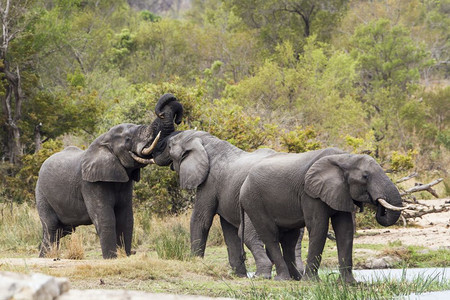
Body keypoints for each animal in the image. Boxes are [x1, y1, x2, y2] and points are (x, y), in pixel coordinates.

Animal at [36, 123, 160, 258]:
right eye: (128, 139)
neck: (104, 139)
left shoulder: (125, 182)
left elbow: (125, 217)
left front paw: (124, 256)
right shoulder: (90, 183)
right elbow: (105, 217)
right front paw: (111, 258)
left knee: (60, 231)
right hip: (41, 193)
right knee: (51, 227)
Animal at [153, 130, 276, 278]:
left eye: (170, 146)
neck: (206, 141)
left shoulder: (209, 182)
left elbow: (201, 220)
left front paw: (195, 262)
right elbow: (228, 229)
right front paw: (239, 276)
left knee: (248, 234)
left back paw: (262, 275)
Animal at [241, 149, 406, 282]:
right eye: (365, 176)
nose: (378, 204)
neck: (344, 158)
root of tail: (245, 181)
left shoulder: (341, 190)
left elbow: (345, 230)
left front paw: (349, 283)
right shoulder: (310, 192)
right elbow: (318, 227)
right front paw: (312, 282)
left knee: (289, 239)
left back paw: (295, 279)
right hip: (254, 202)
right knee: (271, 236)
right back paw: (283, 279)